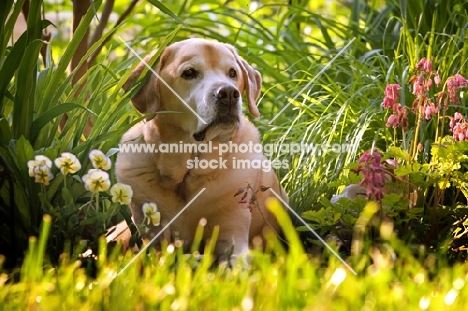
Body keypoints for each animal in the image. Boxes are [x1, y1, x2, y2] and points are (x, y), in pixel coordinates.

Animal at [114, 38, 288, 260]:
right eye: (189, 73)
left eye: (232, 73)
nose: (229, 94)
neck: (187, 172)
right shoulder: (154, 236)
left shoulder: (232, 231)